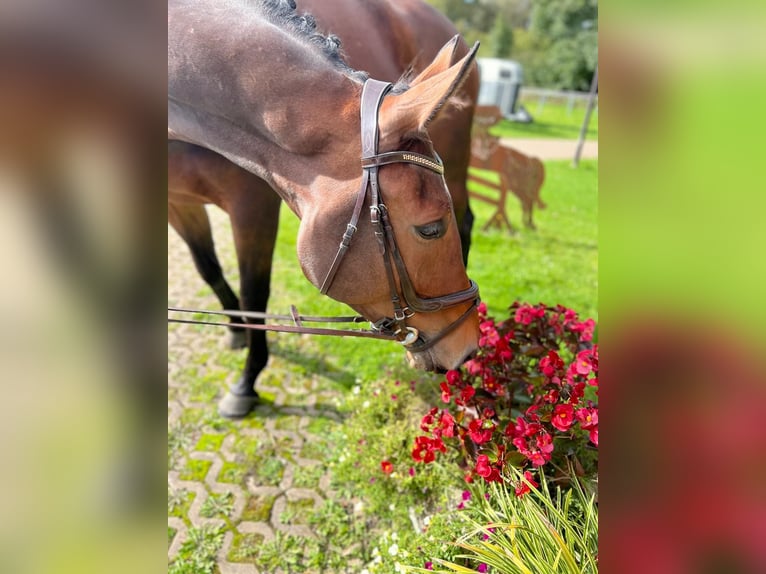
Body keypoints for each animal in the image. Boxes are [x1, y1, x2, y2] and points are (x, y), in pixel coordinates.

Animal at [170, 0, 480, 416]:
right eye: (430, 228)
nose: (468, 347)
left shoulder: (252, 204)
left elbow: (255, 293)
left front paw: (246, 383)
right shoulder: (178, 202)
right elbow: (210, 270)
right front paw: (237, 336)